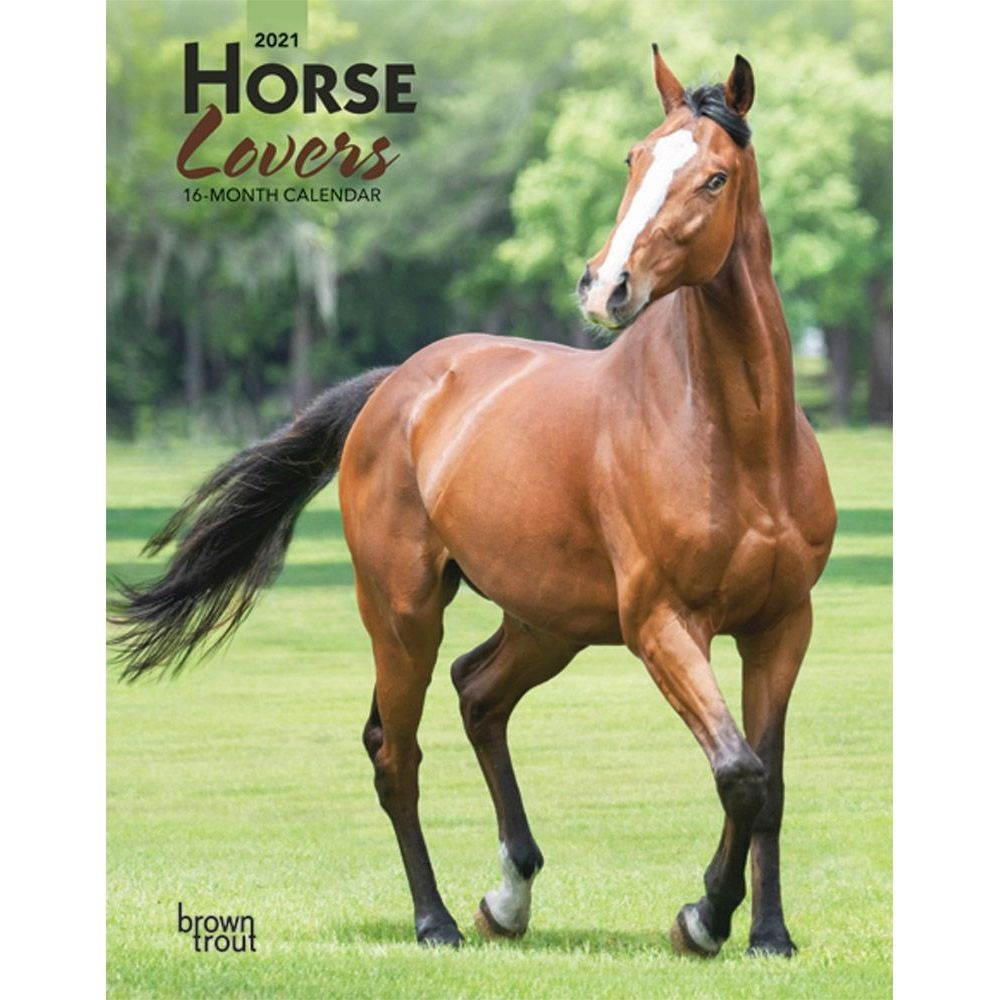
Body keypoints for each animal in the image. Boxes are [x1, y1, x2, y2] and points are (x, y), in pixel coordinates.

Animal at [110, 49, 836, 958]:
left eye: (714, 176)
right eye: (634, 158)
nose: (606, 287)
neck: (735, 442)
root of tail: (398, 386)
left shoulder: (782, 625)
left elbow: (769, 782)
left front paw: (768, 934)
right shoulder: (665, 625)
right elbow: (738, 771)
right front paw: (703, 916)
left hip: (547, 622)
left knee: (478, 693)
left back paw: (508, 898)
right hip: (404, 611)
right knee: (397, 751)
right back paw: (439, 921)